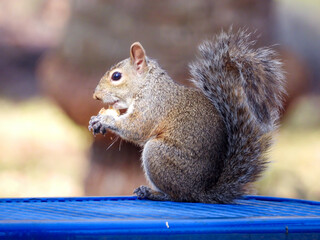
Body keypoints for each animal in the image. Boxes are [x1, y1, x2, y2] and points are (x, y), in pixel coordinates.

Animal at [87, 29, 284, 203]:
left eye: (116, 76)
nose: (95, 96)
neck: (148, 84)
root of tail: (200, 191)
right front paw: (97, 122)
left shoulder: (153, 105)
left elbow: (137, 127)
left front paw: (105, 120)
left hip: (157, 155)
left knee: (178, 196)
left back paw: (153, 193)